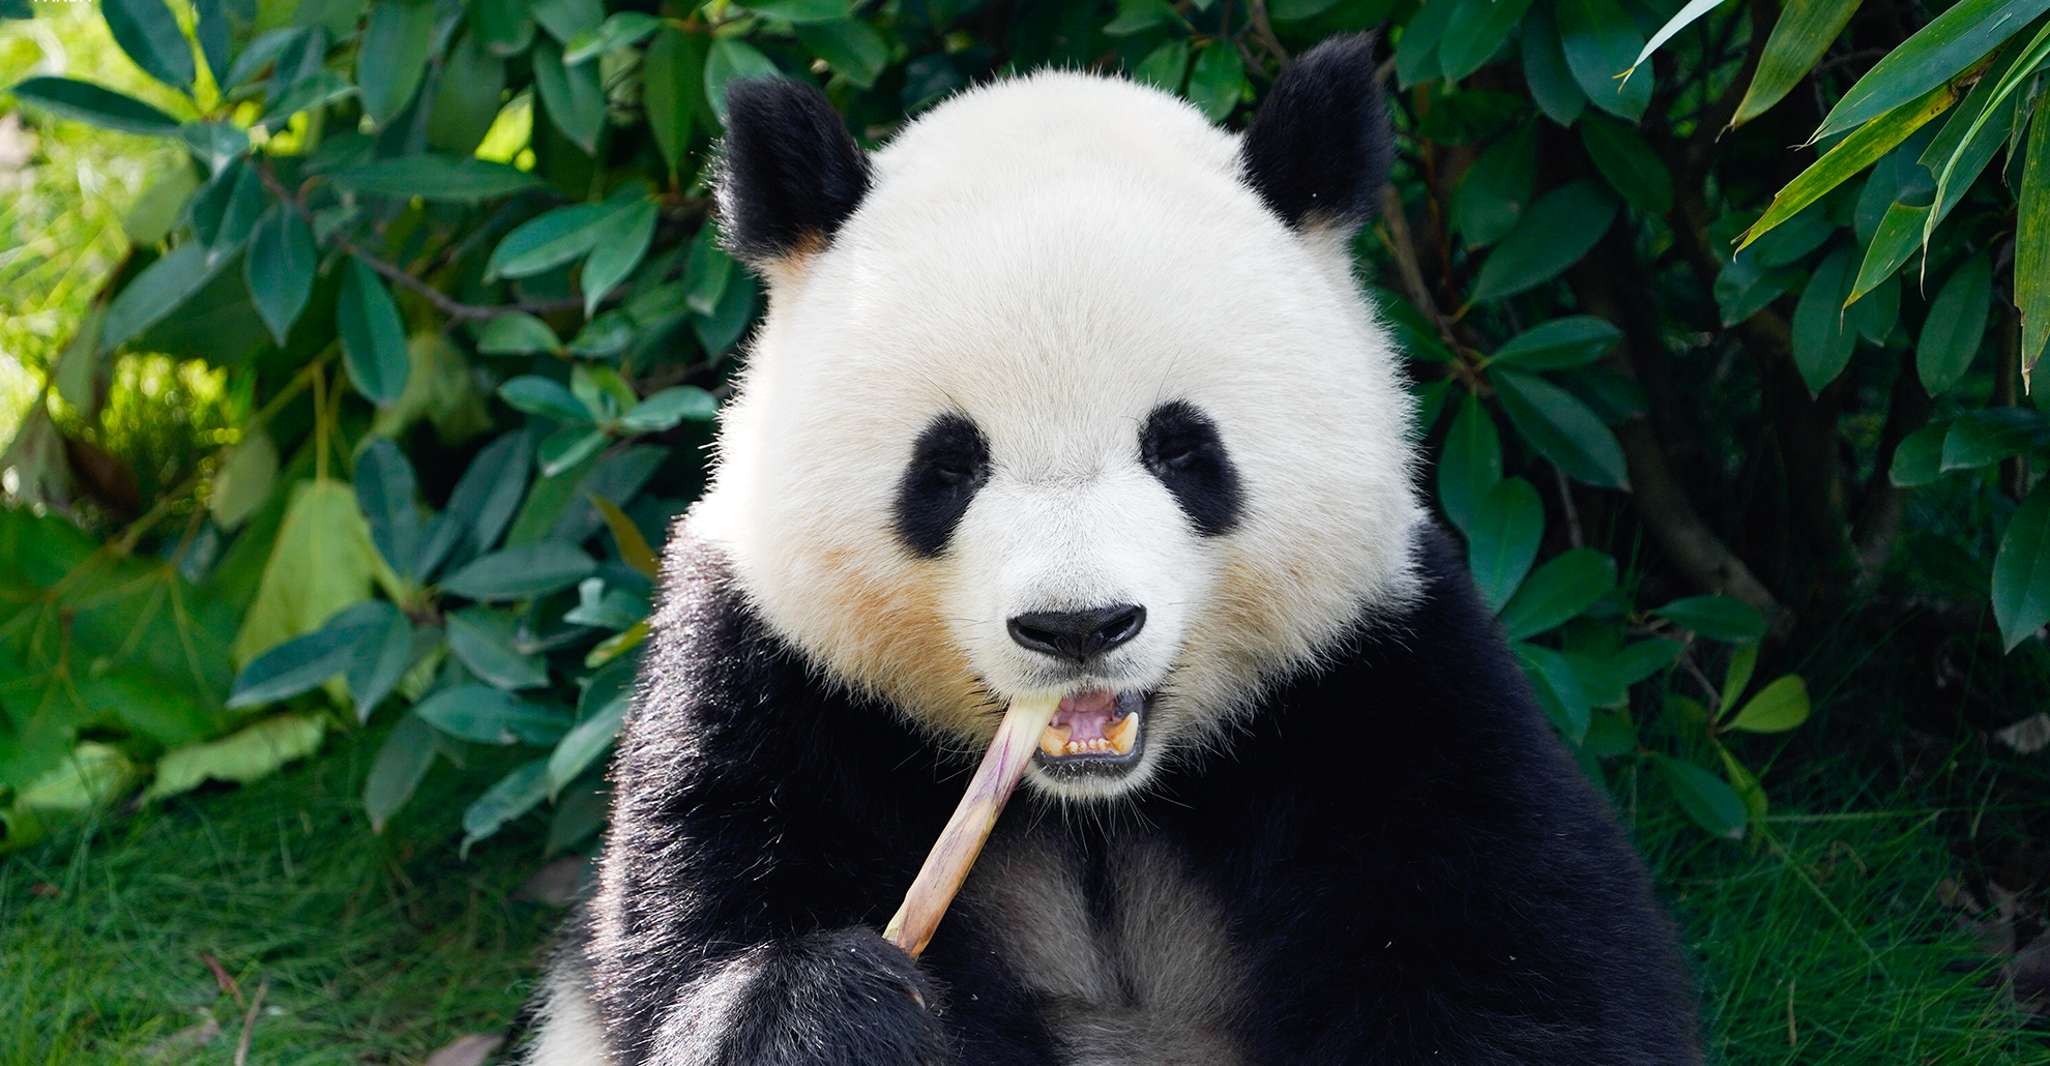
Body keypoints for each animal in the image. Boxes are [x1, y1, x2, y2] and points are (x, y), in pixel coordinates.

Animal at [522, 33, 1700, 1066]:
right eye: (948, 467)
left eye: (1182, 449)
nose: (1078, 625)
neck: (1095, 806)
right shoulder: (769, 683)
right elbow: (700, 920)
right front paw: (835, 1014)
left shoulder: (1385, 675)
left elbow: (1525, 968)